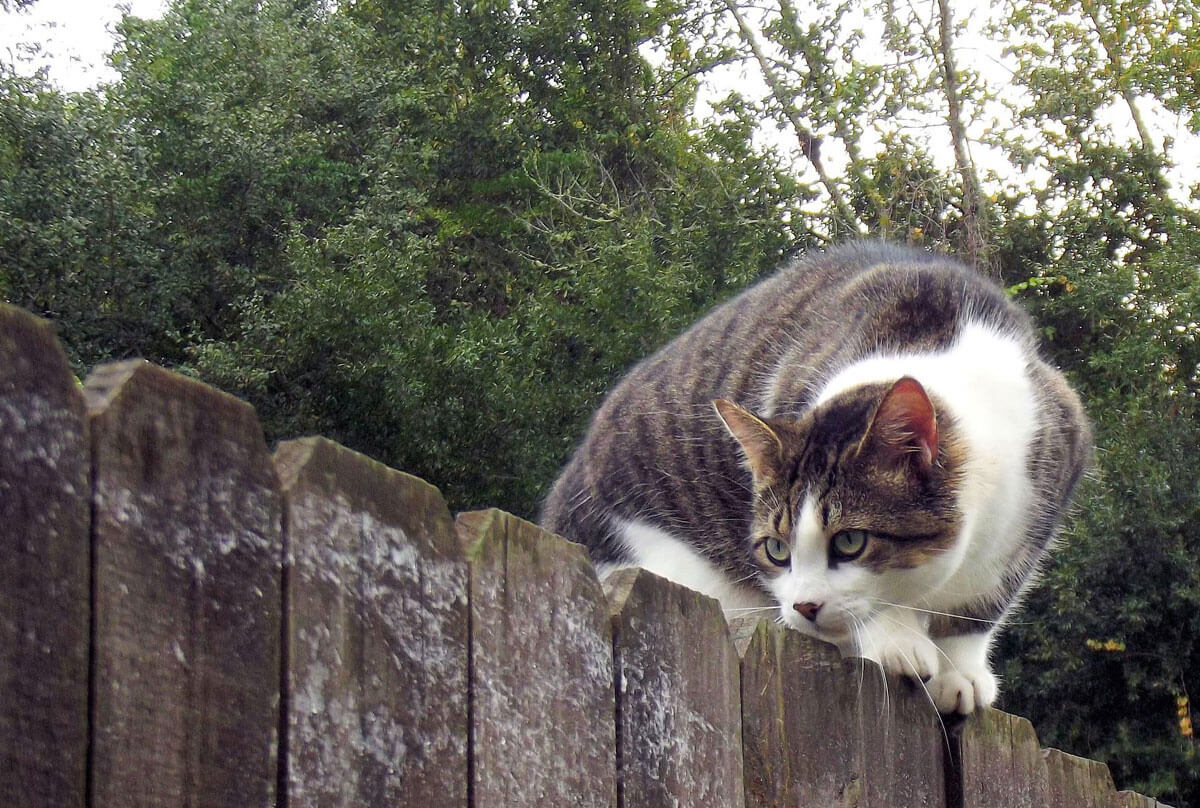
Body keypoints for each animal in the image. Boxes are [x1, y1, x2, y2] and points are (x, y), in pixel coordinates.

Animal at [540, 240, 1094, 710]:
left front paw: (961, 671)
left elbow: (982, 609)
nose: (804, 606)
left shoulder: (1048, 482)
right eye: (775, 550)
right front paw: (897, 640)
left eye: (849, 542)